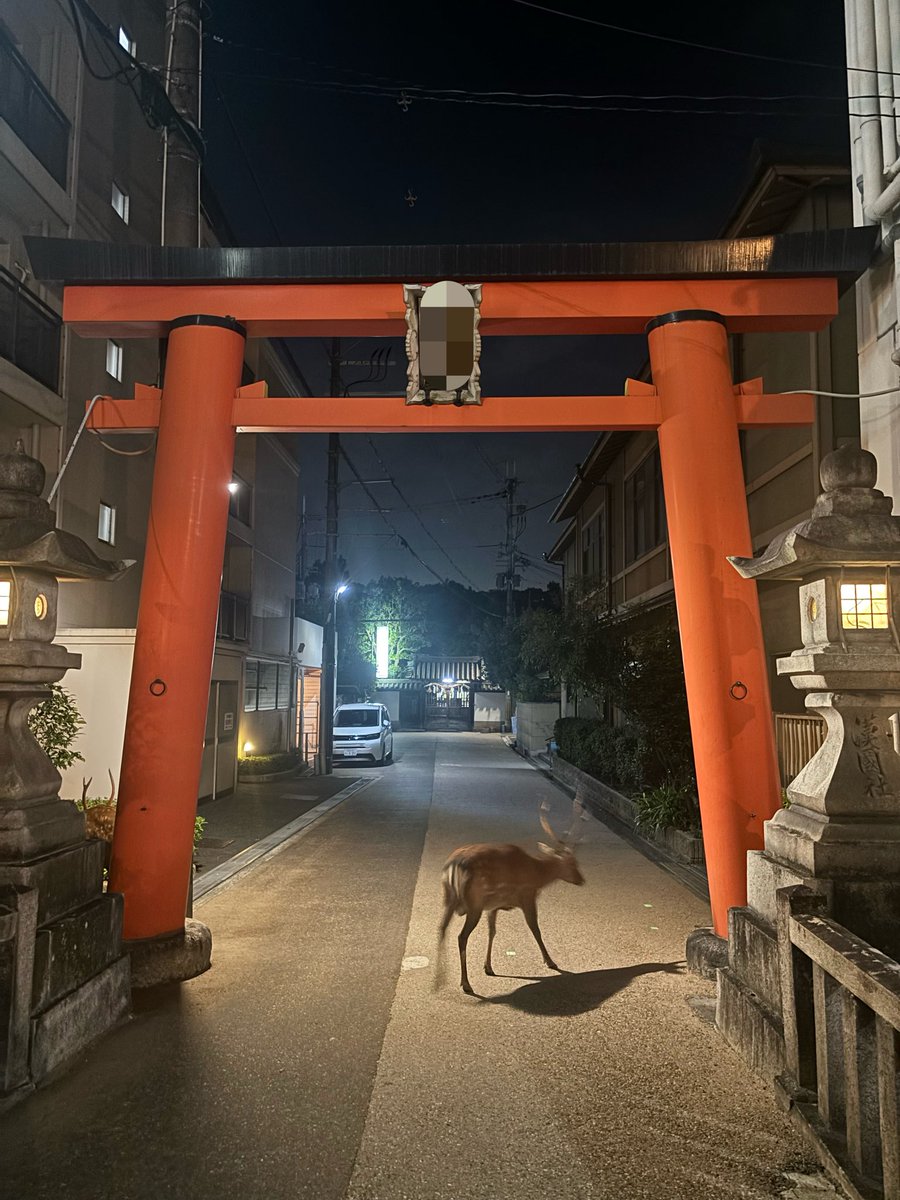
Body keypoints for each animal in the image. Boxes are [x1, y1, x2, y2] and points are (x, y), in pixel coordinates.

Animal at [438, 796, 586, 993]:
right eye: (572, 863)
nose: (581, 879)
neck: (537, 874)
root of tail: (453, 864)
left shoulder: (493, 906)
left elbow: (492, 932)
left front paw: (488, 967)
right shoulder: (527, 896)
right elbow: (535, 929)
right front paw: (550, 962)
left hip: (450, 898)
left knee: (441, 928)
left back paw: (439, 980)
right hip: (474, 903)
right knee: (461, 937)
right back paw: (466, 984)